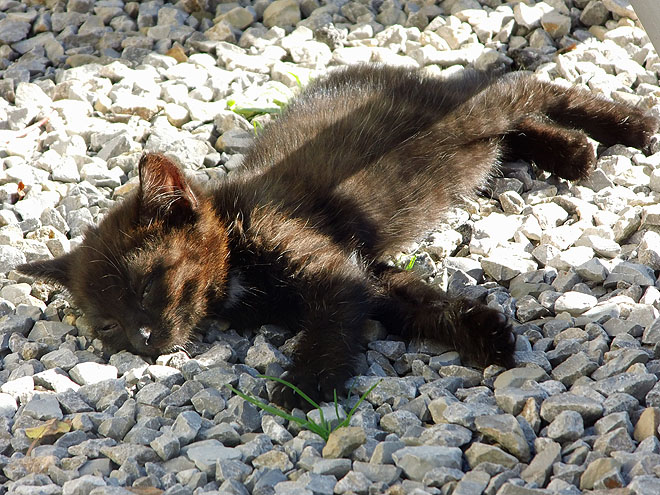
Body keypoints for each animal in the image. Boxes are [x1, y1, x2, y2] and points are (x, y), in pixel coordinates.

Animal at [18, 64, 656, 408]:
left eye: (150, 286)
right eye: (107, 326)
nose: (144, 338)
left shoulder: (324, 265)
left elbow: (328, 324)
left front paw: (304, 385)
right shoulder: (364, 271)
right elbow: (415, 301)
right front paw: (486, 334)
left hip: (464, 116)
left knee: (524, 88)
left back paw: (629, 125)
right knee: (515, 125)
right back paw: (572, 153)